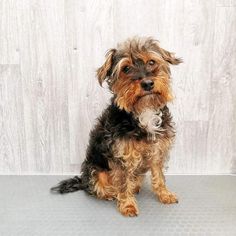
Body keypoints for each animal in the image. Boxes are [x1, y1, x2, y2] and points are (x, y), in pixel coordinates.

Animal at [50, 36, 182, 216]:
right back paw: (111, 194)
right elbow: (123, 182)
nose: (147, 83)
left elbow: (159, 176)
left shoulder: (157, 151)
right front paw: (127, 205)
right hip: (95, 171)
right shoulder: (122, 156)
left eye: (151, 62)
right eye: (126, 68)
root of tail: (83, 181)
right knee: (99, 188)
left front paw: (164, 194)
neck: (144, 110)